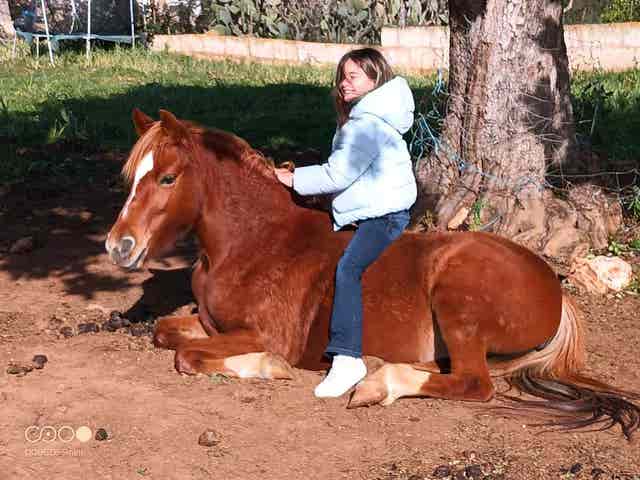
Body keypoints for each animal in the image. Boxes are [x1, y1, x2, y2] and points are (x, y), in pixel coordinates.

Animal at [105, 109, 639, 439]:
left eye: (167, 178)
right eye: (133, 176)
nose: (118, 246)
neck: (253, 243)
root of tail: (556, 289)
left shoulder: (261, 333)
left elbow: (189, 356)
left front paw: (268, 367)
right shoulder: (208, 322)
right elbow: (164, 333)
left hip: (457, 300)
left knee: (474, 383)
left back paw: (376, 384)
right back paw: (377, 371)